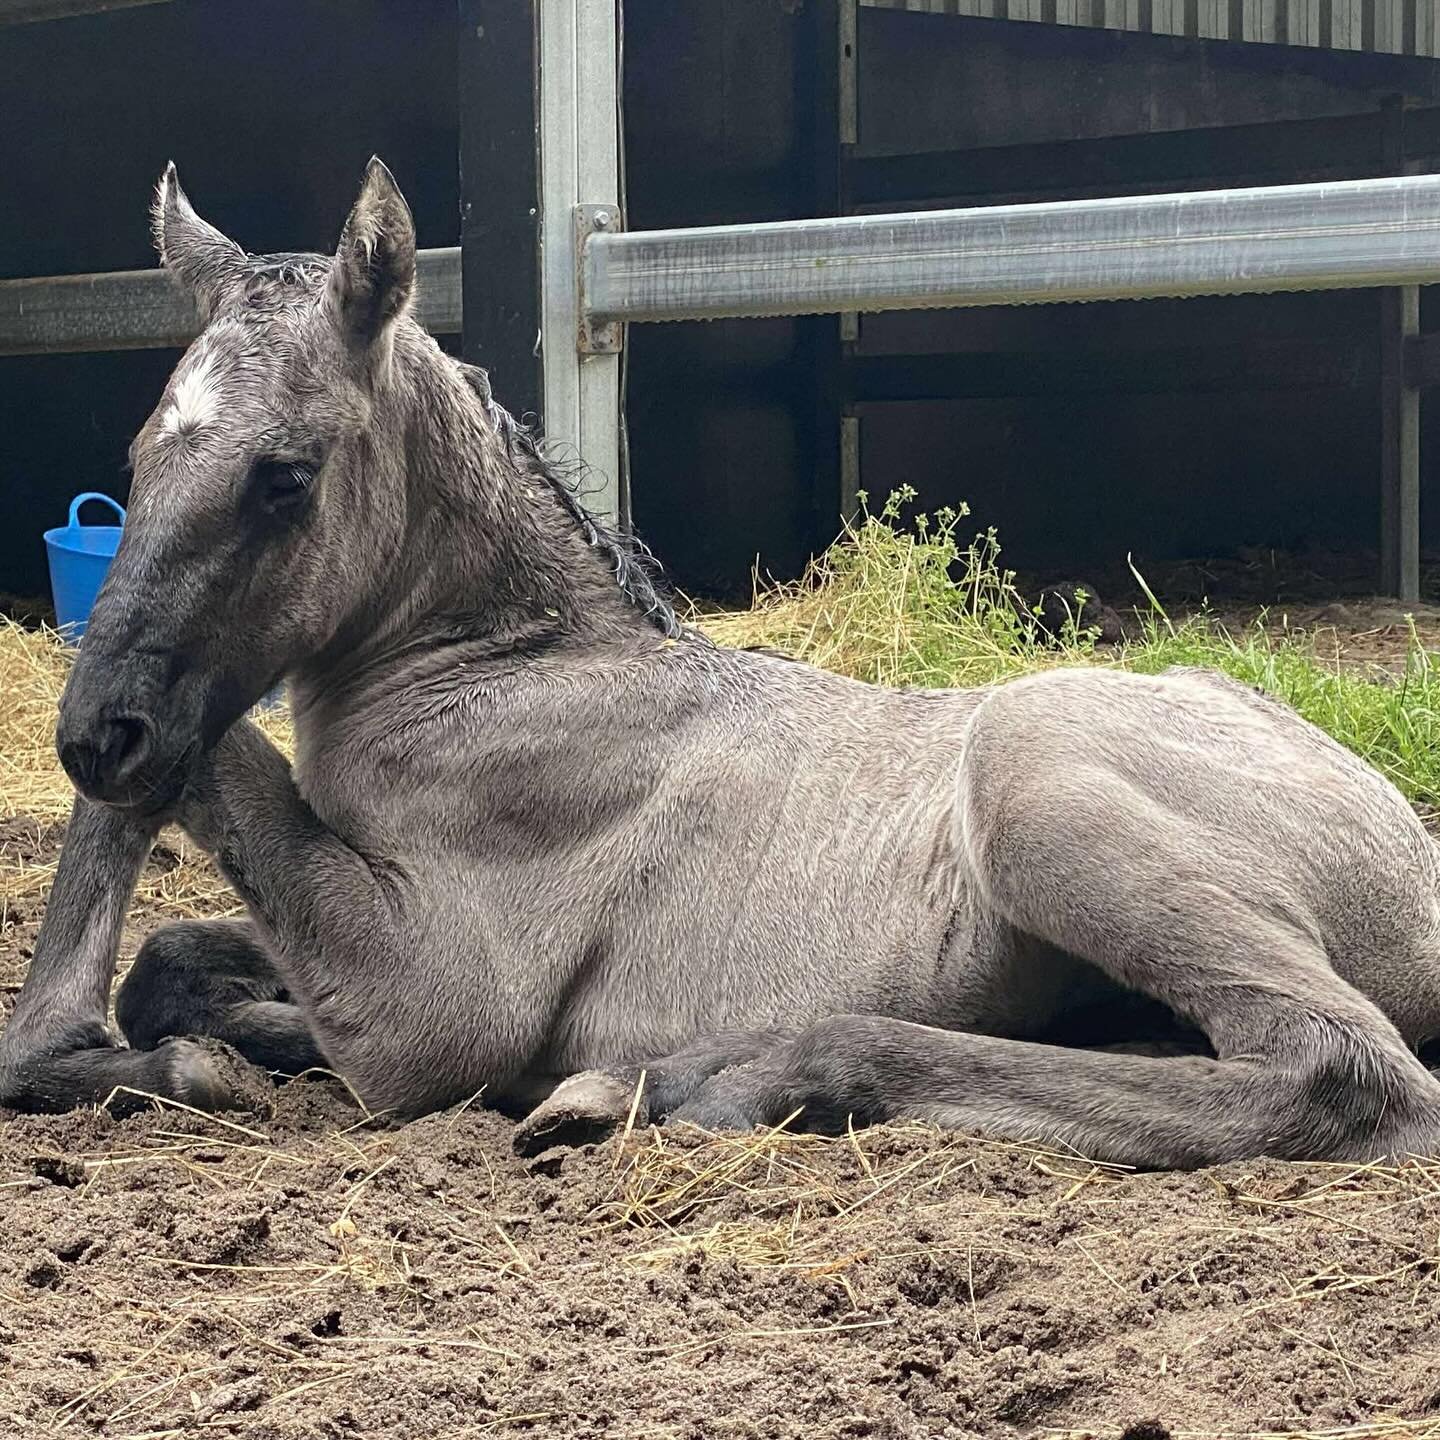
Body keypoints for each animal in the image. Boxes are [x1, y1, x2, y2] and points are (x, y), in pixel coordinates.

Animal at [4, 159, 1440, 1170]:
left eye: (285, 477)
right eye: (138, 456)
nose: (93, 733)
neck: (512, 681)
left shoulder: (426, 1010)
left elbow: (222, 774)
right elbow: (171, 962)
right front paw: (204, 1040)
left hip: (1040, 787)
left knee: (1339, 1071)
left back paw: (708, 1081)